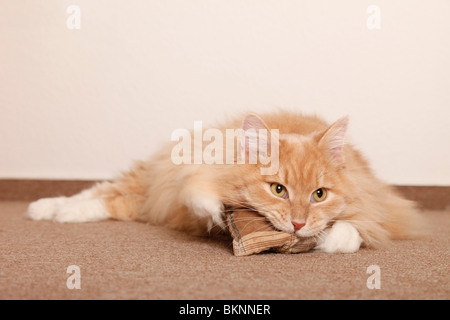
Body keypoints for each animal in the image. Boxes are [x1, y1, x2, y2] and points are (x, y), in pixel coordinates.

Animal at [26, 111, 424, 254]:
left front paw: (325, 239)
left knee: (111, 200)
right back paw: (45, 208)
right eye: (278, 190)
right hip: (153, 180)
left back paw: (58, 212)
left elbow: (348, 231)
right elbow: (201, 195)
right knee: (99, 192)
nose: (297, 224)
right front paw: (216, 210)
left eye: (319, 194)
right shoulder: (193, 175)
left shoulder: (380, 209)